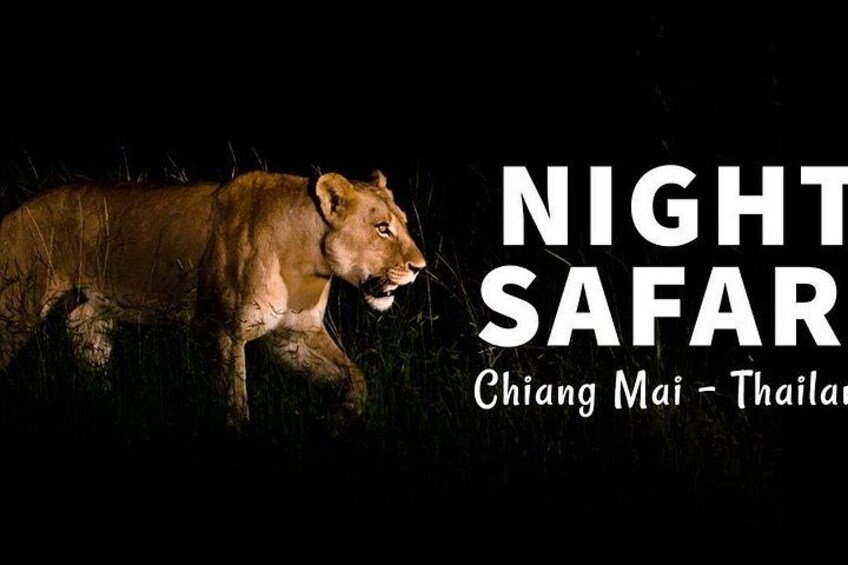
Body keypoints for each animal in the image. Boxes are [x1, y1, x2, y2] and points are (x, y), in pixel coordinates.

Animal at [0, 170, 426, 426]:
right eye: (382, 228)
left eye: (403, 224)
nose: (419, 267)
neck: (306, 260)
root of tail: (13, 214)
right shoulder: (224, 331)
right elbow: (235, 406)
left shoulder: (292, 335)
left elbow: (355, 377)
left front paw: (338, 416)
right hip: (16, 308)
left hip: (90, 320)